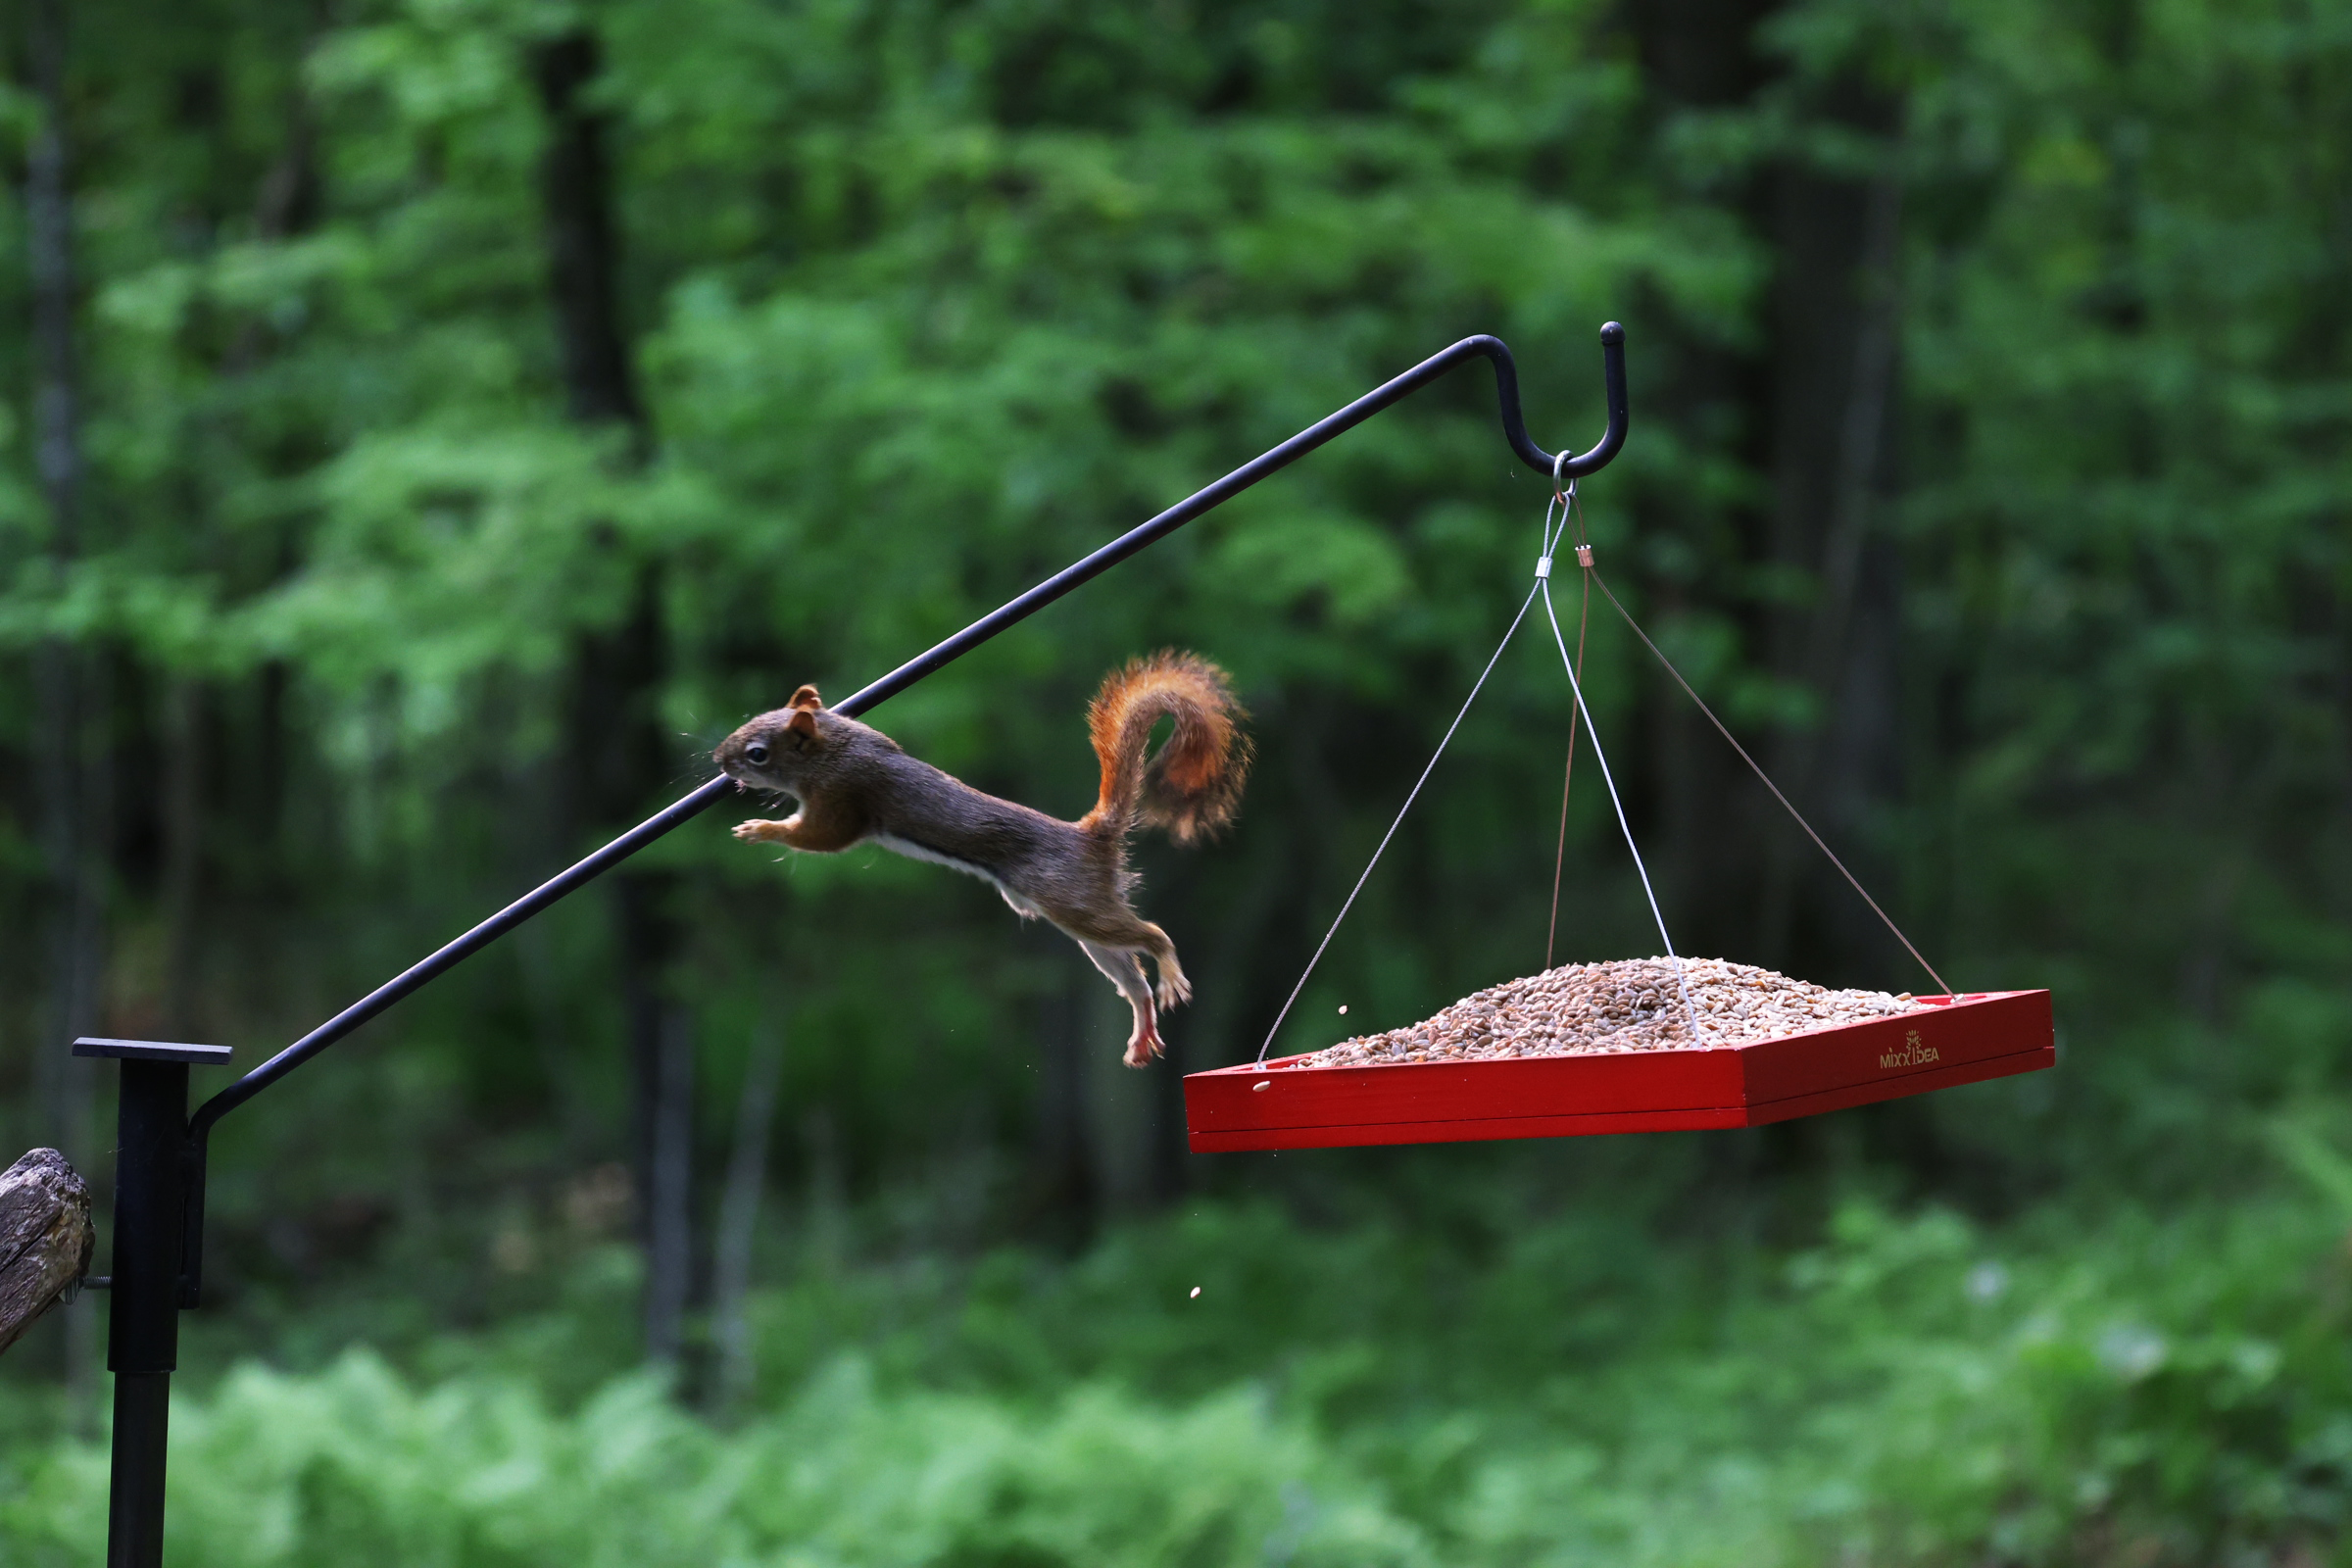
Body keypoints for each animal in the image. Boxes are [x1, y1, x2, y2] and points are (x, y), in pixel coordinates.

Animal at [715, 651, 1251, 1067]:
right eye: (749, 723)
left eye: (758, 752)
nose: (721, 760)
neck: (835, 748)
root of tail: (1090, 837)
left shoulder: (842, 800)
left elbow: (821, 837)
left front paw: (759, 829)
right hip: (1086, 924)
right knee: (1132, 979)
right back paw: (1142, 1030)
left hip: (1075, 903)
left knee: (1153, 935)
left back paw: (1170, 970)